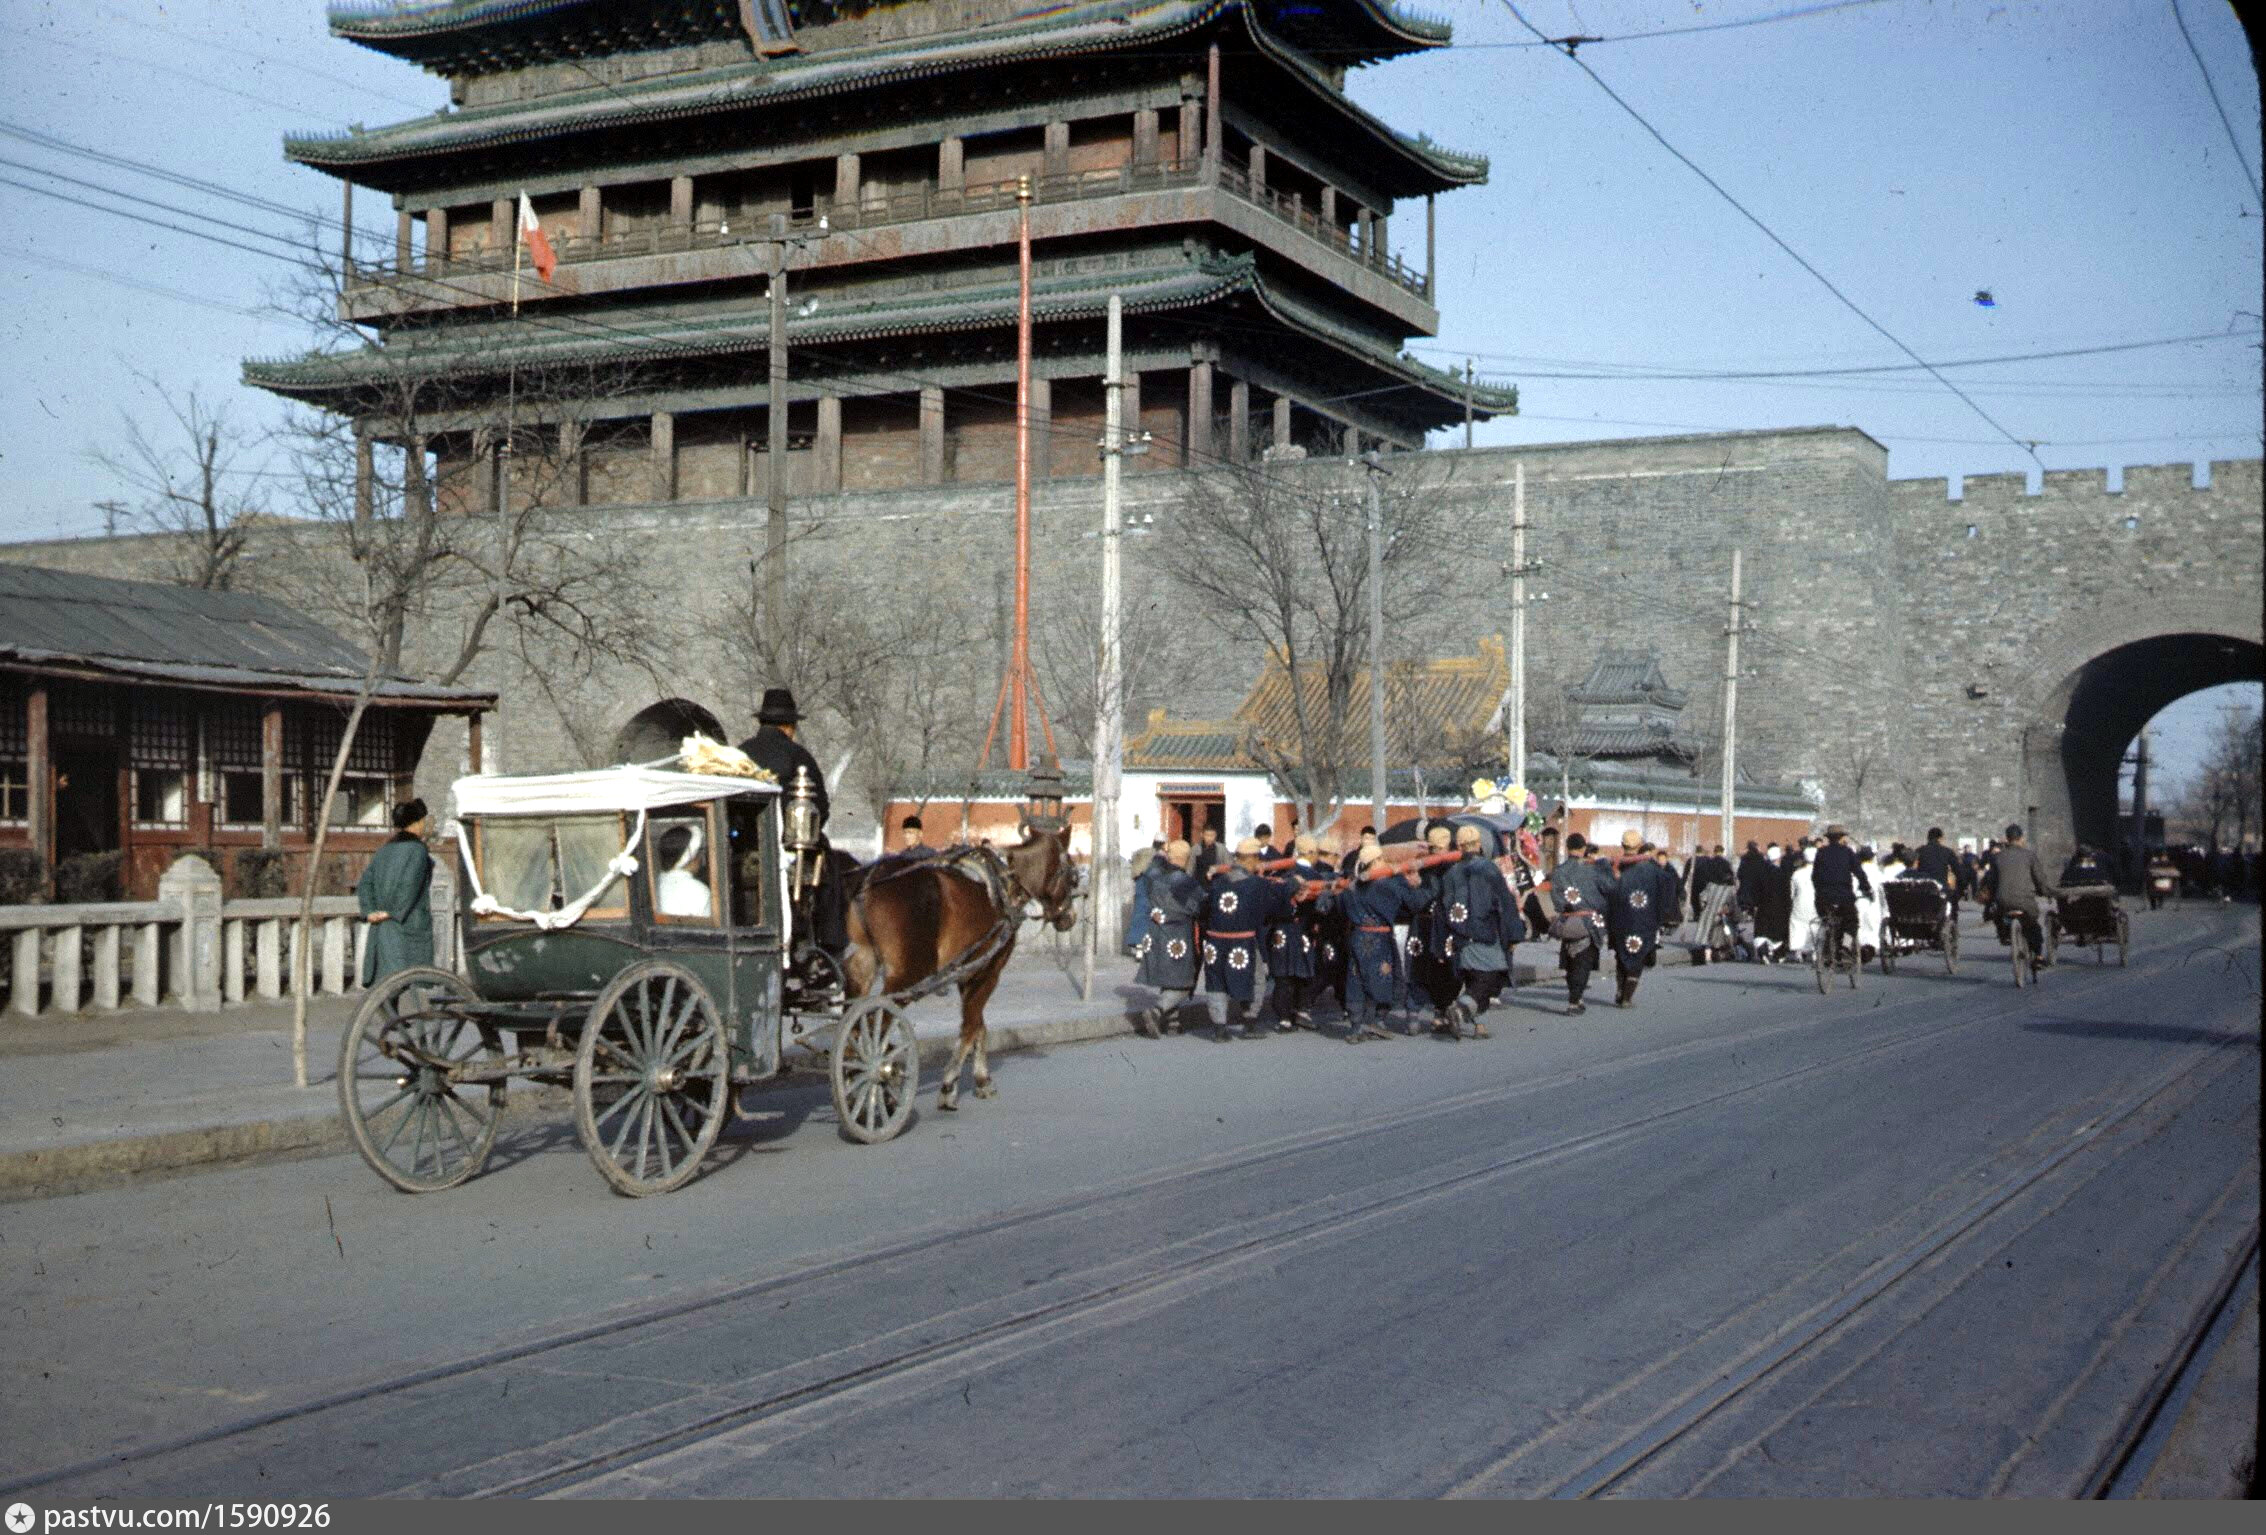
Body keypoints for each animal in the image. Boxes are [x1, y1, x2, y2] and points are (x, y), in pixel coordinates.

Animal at [842, 825, 1078, 1115]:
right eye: (1072, 875)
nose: (1070, 918)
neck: (1006, 884)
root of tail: (870, 878)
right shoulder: (989, 973)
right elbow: (969, 1027)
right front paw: (948, 1085)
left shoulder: (967, 975)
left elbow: (979, 1027)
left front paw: (982, 1079)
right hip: (907, 975)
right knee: (876, 1022)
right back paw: (877, 1085)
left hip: (864, 962)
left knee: (854, 1022)